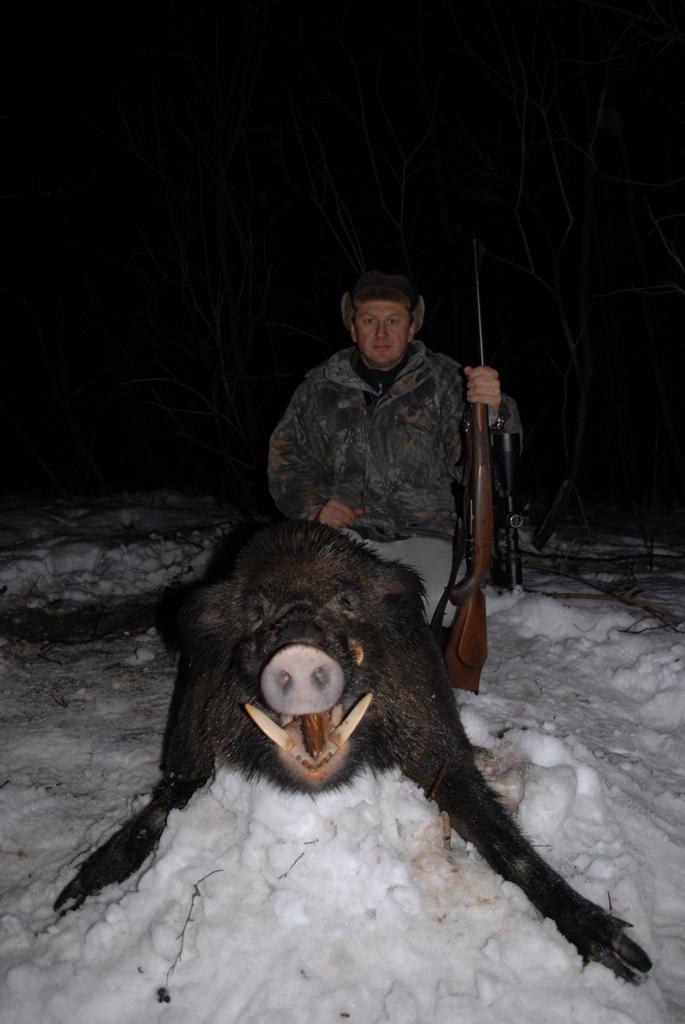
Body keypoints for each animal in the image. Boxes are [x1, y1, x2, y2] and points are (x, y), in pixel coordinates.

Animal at [54, 521, 651, 983]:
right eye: (256, 611)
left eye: (346, 602)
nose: (297, 650)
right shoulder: (191, 750)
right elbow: (161, 805)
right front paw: (66, 904)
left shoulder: (437, 742)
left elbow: (496, 829)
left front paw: (630, 960)